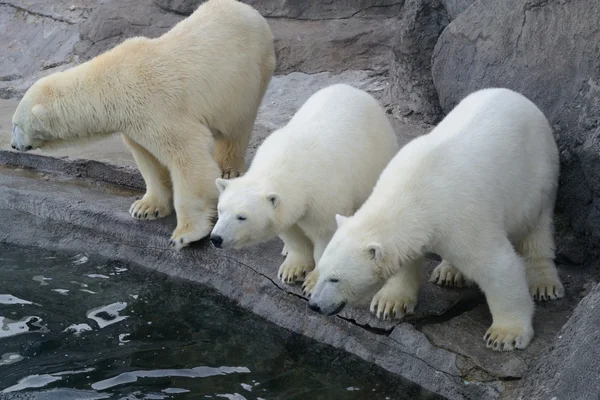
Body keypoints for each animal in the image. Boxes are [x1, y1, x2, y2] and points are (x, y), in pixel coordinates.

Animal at [9, 0, 276, 250]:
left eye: (15, 125)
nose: (12, 145)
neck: (112, 84)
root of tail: (248, 10)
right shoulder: (135, 121)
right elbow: (148, 158)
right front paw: (145, 208)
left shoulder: (156, 106)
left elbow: (188, 155)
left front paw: (184, 234)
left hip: (247, 77)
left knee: (236, 126)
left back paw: (229, 169)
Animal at [210, 83, 398, 284]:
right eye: (221, 210)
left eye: (242, 217)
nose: (216, 238)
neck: (288, 164)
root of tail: (352, 89)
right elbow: (291, 233)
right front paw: (292, 269)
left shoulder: (324, 195)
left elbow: (326, 233)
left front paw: (312, 280)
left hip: (377, 155)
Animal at [308, 88, 564, 354]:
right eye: (321, 268)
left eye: (335, 278)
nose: (314, 305)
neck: (414, 192)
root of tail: (515, 95)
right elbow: (405, 258)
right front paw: (389, 303)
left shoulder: (465, 215)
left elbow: (498, 267)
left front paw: (505, 334)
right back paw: (449, 272)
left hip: (537, 176)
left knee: (537, 229)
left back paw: (544, 283)